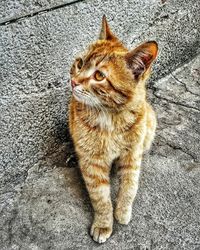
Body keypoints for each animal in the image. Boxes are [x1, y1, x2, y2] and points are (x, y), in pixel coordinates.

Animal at [69, 15, 158, 242]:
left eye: (99, 76)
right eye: (79, 63)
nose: (73, 81)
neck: (110, 117)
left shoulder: (132, 155)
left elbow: (130, 186)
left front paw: (123, 212)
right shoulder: (92, 163)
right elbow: (100, 198)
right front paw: (104, 224)